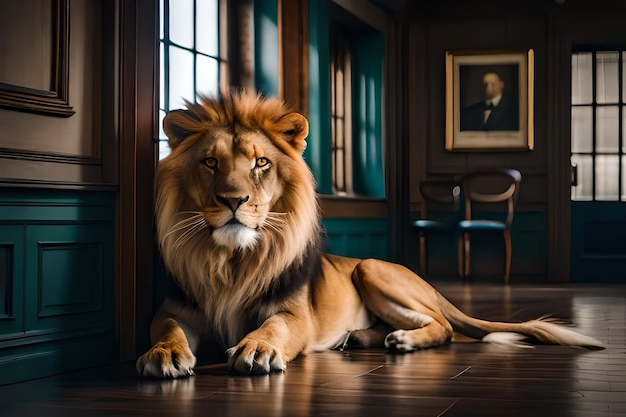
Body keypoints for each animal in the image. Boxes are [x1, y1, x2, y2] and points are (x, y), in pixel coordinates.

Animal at [134, 91, 604, 376]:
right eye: (210, 163)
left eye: (261, 163)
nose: (234, 201)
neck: (230, 261)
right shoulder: (174, 307)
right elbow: (167, 328)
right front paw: (164, 354)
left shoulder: (295, 316)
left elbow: (275, 327)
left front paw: (256, 349)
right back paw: (361, 338)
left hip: (372, 269)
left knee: (443, 326)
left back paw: (401, 340)